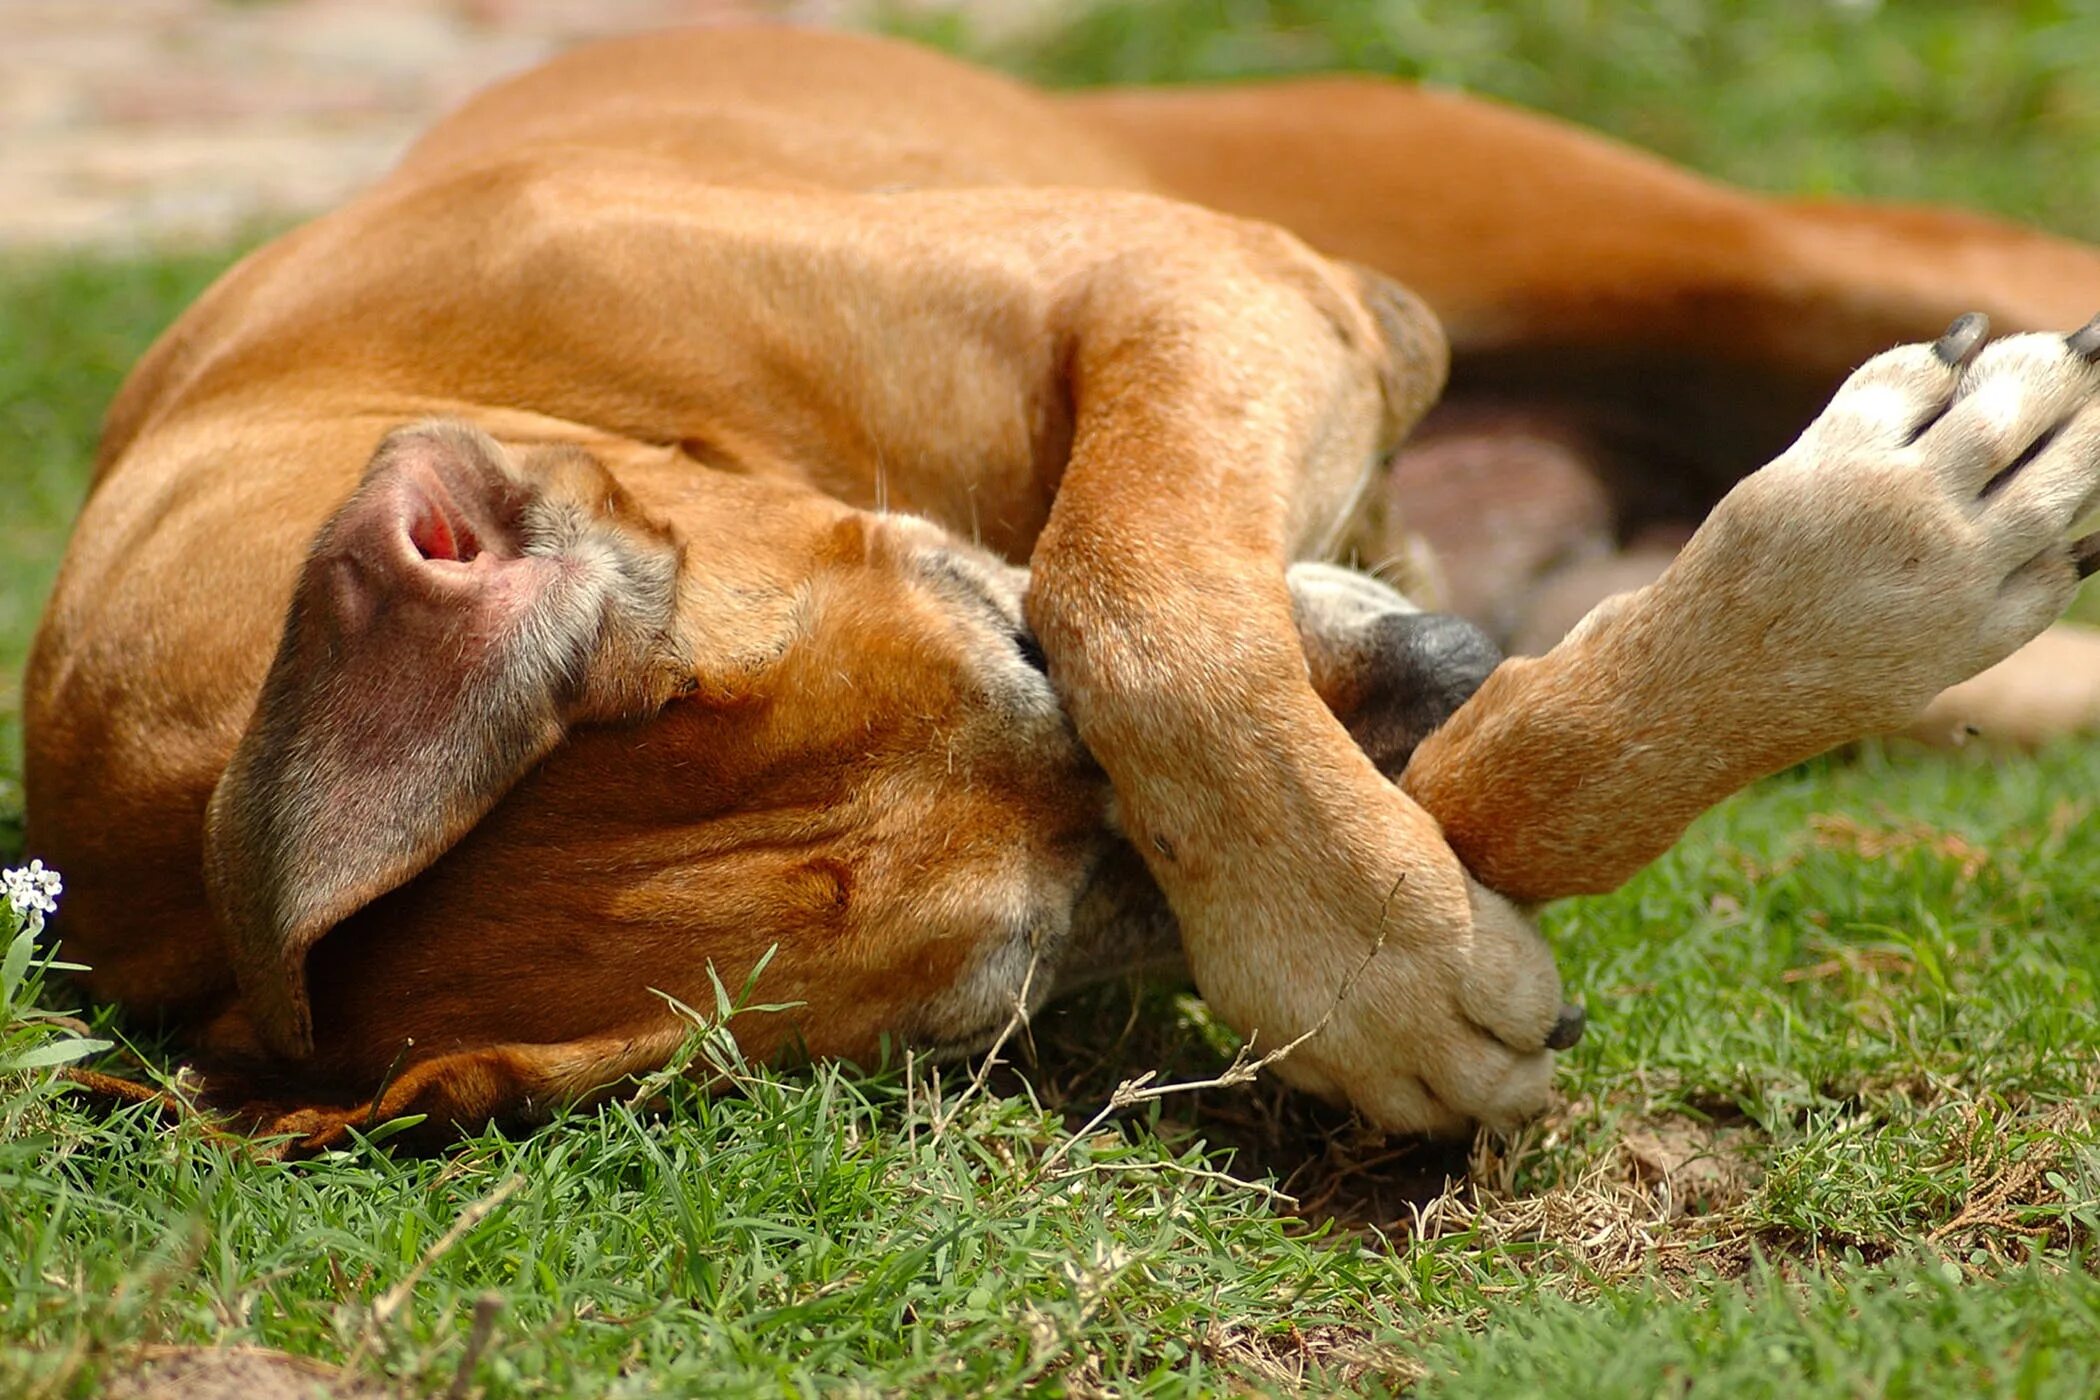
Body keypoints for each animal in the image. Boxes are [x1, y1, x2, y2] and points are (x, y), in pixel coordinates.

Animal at [28, 24, 2100, 1150]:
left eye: (1013, 632)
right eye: (1028, 981)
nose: (1451, 653)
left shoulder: (1217, 286)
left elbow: (1141, 580)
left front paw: (1375, 953)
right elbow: (1477, 782)